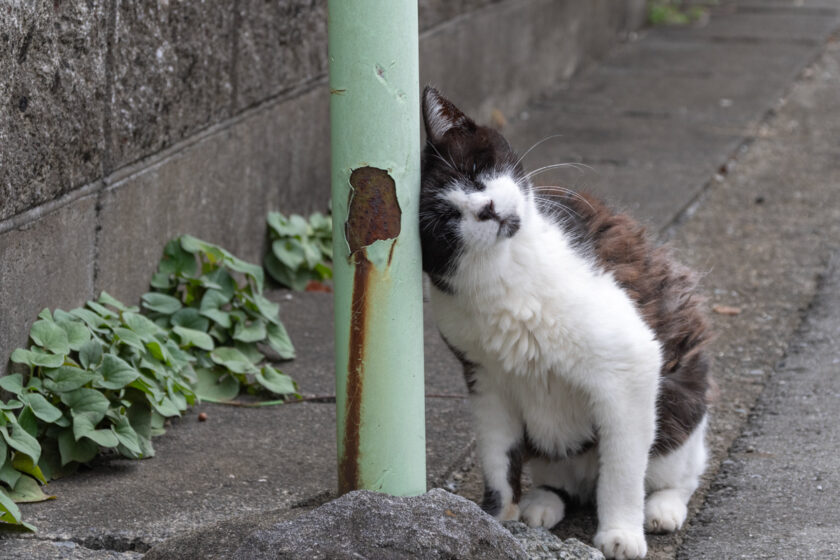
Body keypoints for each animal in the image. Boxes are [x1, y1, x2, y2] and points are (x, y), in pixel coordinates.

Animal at [418, 85, 708, 556]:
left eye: (476, 172)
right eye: (446, 220)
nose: (487, 208)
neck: (505, 273)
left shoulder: (630, 364)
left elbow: (622, 470)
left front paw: (620, 533)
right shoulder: (484, 379)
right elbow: (497, 456)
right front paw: (495, 520)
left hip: (678, 412)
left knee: (676, 469)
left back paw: (663, 507)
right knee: (555, 471)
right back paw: (543, 501)